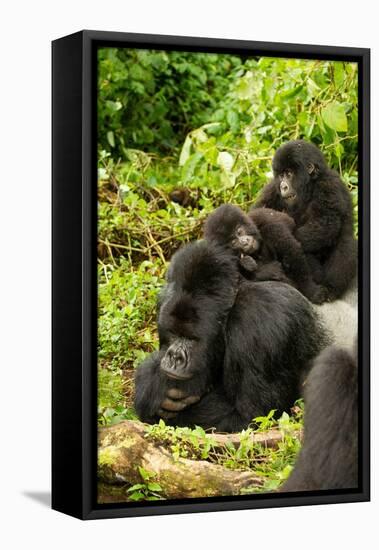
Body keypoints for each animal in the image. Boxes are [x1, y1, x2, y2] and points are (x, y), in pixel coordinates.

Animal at [134, 243, 330, 436]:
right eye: (173, 333)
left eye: (191, 338)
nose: (174, 356)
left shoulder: (261, 316)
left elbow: (249, 416)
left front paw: (153, 388)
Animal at [254, 140, 358, 300]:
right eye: (281, 175)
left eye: (289, 174)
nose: (283, 186)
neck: (310, 184)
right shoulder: (272, 187)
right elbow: (255, 213)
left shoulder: (329, 185)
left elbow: (325, 224)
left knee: (346, 243)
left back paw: (331, 288)